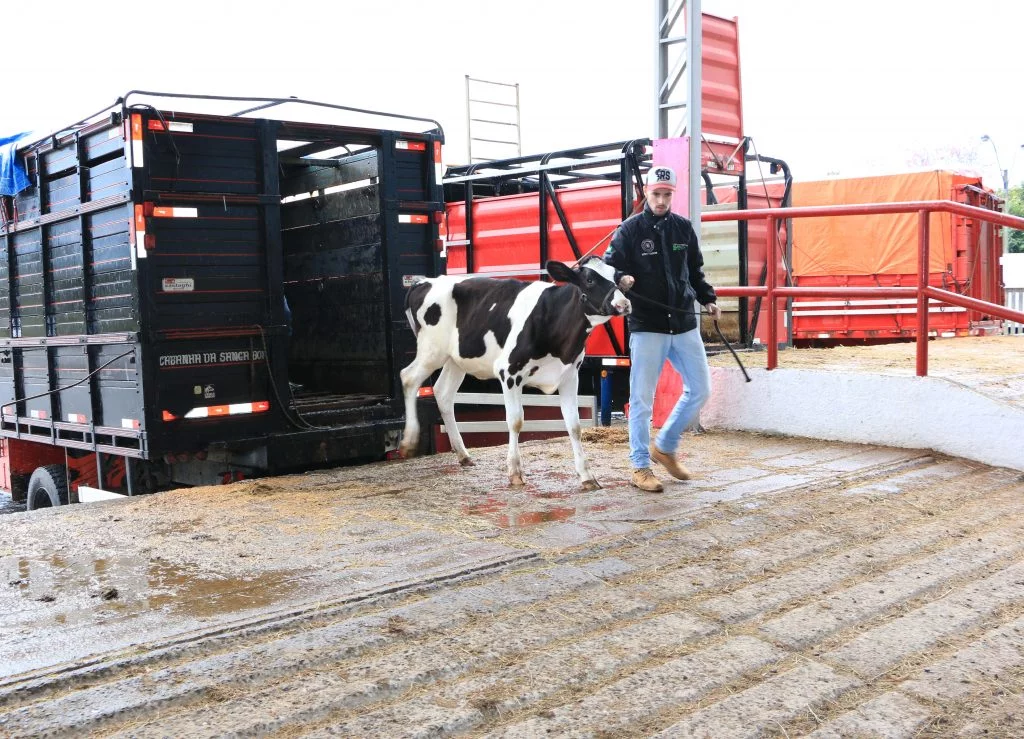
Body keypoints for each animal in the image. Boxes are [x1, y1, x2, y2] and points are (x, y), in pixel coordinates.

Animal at [399, 257, 630, 489]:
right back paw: (408, 442)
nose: (624, 304)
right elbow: (515, 421)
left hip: (456, 358)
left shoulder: (570, 376)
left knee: (443, 393)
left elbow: (574, 426)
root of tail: (425, 282)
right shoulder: (509, 373)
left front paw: (587, 476)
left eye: (617, 276)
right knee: (408, 378)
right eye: (589, 279)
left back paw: (463, 454)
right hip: (431, 351)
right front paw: (515, 471)